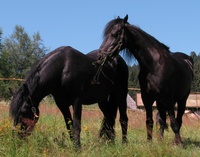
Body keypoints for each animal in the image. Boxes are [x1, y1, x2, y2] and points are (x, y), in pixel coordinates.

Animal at [100, 15, 194, 145]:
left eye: (116, 33)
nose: (101, 54)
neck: (153, 66)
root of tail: (188, 60)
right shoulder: (147, 99)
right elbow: (149, 122)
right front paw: (149, 143)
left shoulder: (168, 98)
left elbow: (174, 123)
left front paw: (179, 143)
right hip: (160, 102)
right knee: (162, 120)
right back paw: (161, 141)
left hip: (182, 99)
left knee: (178, 119)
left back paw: (176, 141)